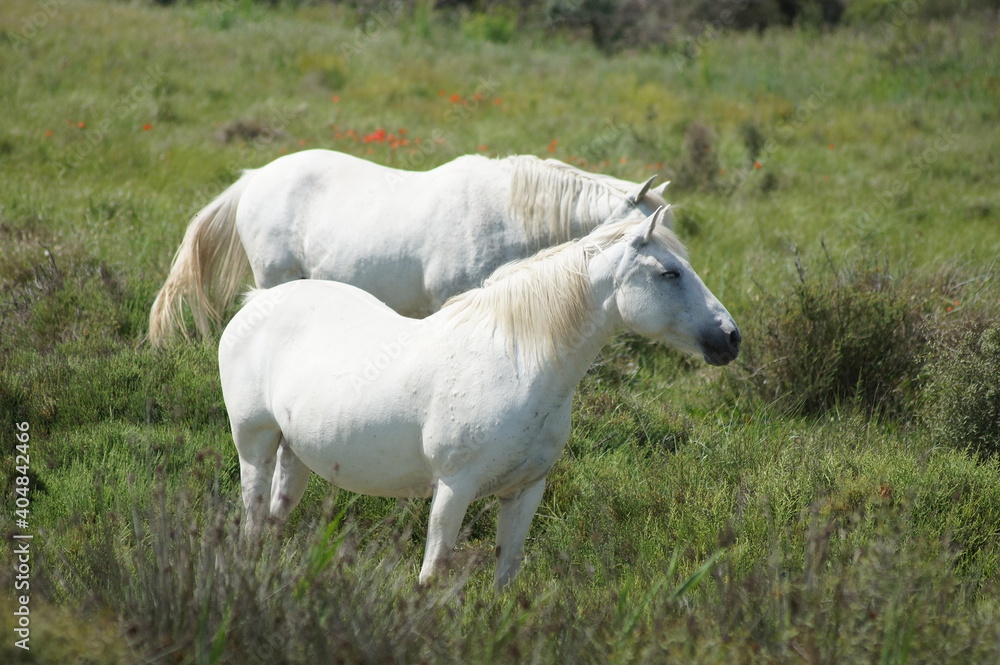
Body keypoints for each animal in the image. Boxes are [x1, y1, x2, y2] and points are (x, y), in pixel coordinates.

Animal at [217, 209, 736, 592]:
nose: (731, 338)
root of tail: (255, 303)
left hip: (295, 451)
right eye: (670, 273)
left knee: (275, 518)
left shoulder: (525, 491)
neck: (517, 363)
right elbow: (432, 572)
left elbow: (506, 574)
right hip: (255, 445)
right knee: (252, 518)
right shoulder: (454, 487)